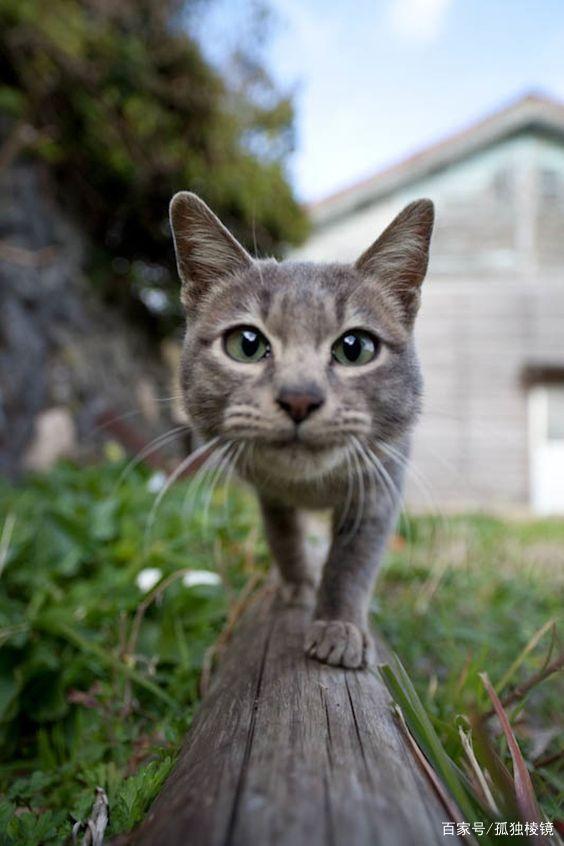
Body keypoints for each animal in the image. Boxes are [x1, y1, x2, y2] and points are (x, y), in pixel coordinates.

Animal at [167, 190, 432, 668]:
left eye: (354, 348)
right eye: (246, 344)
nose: (299, 398)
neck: (311, 487)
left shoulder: (380, 484)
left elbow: (352, 560)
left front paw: (339, 627)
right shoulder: (267, 492)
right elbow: (283, 536)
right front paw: (296, 586)